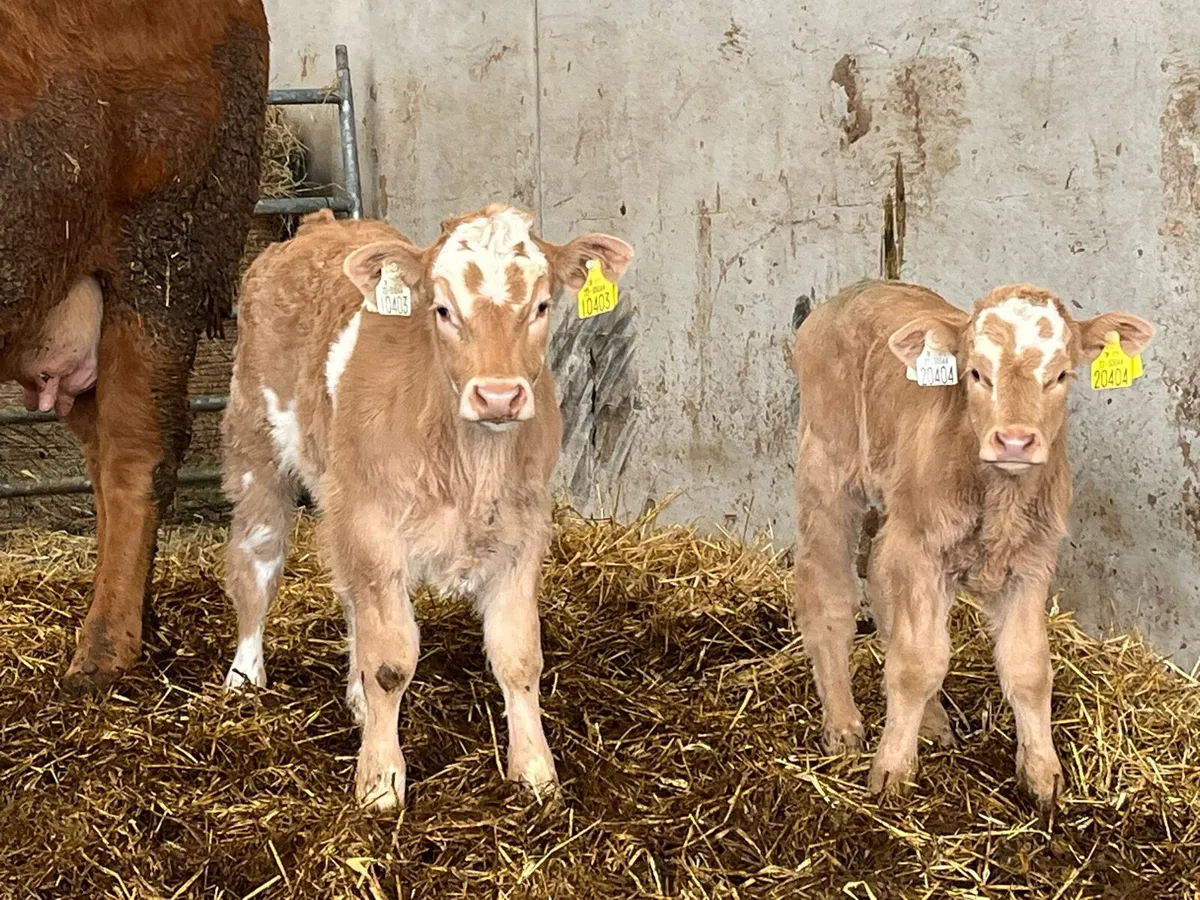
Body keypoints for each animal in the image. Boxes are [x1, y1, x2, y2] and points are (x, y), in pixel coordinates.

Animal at [219, 206, 634, 811]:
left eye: (541, 306)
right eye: (442, 309)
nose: (498, 395)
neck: (470, 465)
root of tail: (320, 225)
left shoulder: (523, 532)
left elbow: (518, 656)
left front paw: (536, 775)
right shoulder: (373, 526)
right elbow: (390, 663)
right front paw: (380, 784)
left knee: (349, 595)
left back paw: (356, 699)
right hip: (256, 445)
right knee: (258, 560)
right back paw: (244, 679)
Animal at [790, 279, 1152, 812]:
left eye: (1060, 375)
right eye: (976, 373)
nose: (1015, 440)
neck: (997, 497)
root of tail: (857, 289)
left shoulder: (1032, 560)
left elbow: (1029, 667)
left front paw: (1043, 777)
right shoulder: (921, 549)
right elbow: (917, 663)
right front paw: (892, 772)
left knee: (880, 583)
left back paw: (933, 722)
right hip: (827, 465)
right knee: (829, 590)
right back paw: (842, 724)